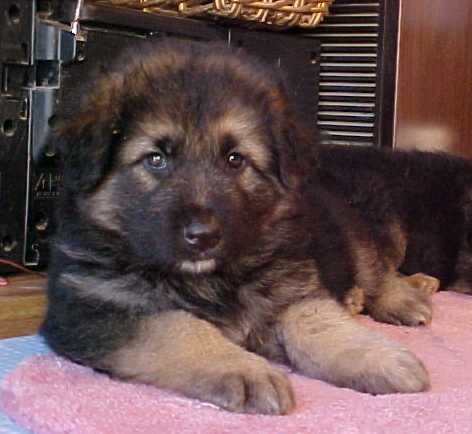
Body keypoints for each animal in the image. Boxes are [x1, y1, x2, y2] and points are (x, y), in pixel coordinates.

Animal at [42, 39, 434, 414]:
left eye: (235, 160)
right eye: (155, 159)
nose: (203, 236)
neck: (207, 280)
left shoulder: (289, 286)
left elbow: (315, 319)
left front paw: (378, 356)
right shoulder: (90, 309)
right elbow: (176, 326)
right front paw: (245, 369)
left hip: (347, 233)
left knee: (375, 268)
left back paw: (405, 297)